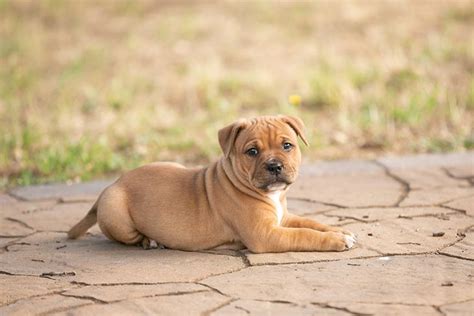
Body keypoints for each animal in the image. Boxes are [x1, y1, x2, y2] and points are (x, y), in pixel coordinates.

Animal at [67, 115, 356, 253]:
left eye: (287, 146)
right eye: (252, 152)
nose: (275, 166)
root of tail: (111, 185)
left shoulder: (282, 218)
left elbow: (311, 223)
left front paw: (339, 230)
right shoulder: (266, 234)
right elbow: (305, 234)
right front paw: (336, 240)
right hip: (117, 213)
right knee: (128, 238)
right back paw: (151, 241)